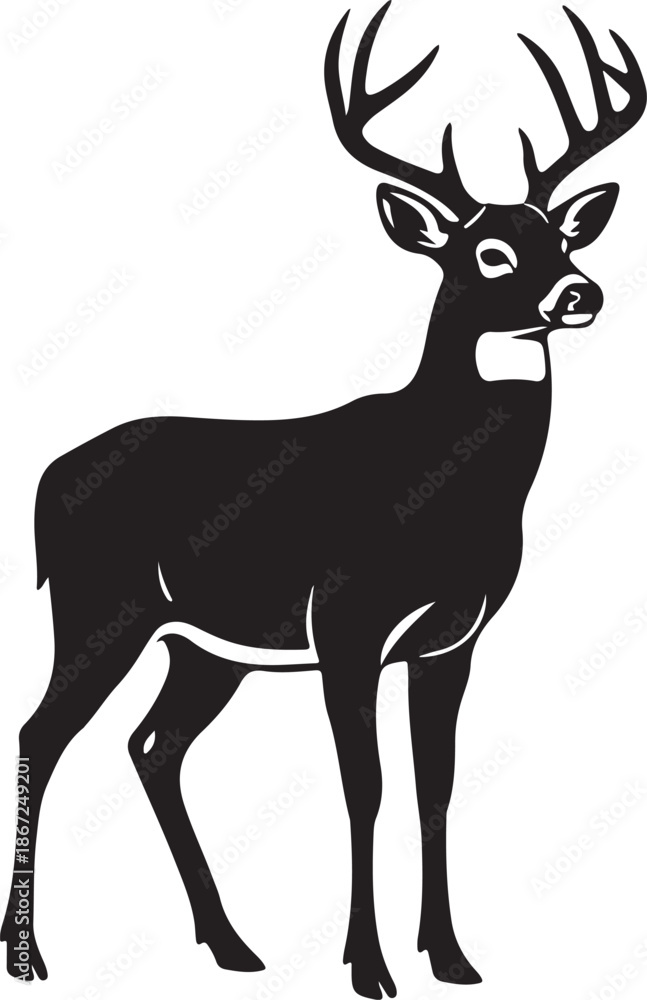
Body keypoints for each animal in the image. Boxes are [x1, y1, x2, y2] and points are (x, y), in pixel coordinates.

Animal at [2, 3, 644, 997]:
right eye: (490, 251)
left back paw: (231, 944)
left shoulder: (451, 637)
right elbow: (363, 786)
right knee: (41, 732)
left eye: (565, 238)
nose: (582, 292)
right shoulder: (346, 619)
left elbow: (435, 787)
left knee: (152, 744)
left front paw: (452, 958)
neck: (442, 491)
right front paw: (368, 967)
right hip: (99, 606)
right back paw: (31, 956)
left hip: (201, 647)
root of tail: (45, 480)